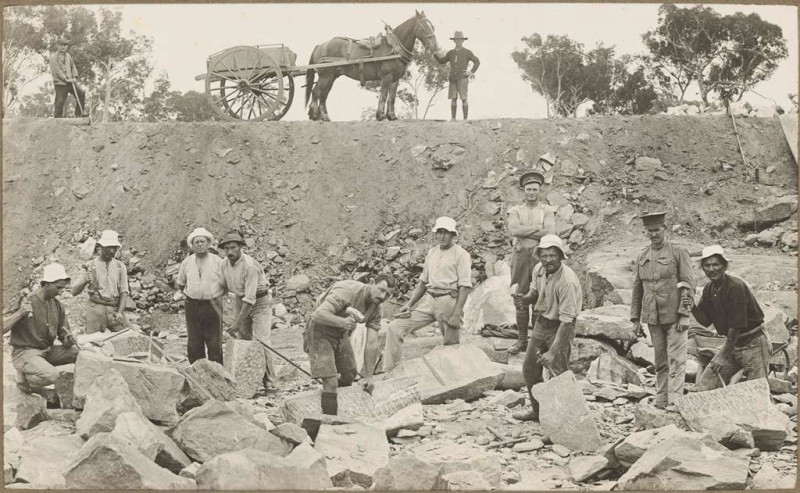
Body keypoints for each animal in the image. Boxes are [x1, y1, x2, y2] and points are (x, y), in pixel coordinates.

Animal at [304, 10, 438, 121]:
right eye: (423, 27)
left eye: (431, 26)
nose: (434, 46)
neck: (394, 47)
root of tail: (321, 45)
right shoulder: (386, 76)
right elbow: (383, 95)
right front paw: (381, 116)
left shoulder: (395, 79)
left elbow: (392, 97)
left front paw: (392, 116)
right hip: (325, 76)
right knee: (316, 92)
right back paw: (314, 115)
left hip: (331, 77)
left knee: (323, 96)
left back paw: (325, 117)